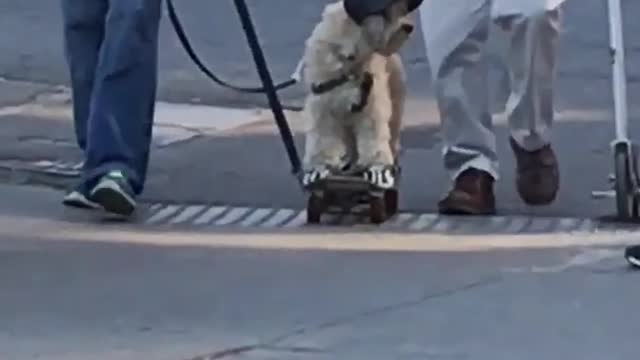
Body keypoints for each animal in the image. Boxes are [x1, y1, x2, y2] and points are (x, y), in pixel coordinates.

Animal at [300, 0, 416, 190]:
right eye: (386, 13)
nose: (409, 26)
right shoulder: (323, 109)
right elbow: (321, 140)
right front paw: (319, 167)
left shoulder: (372, 109)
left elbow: (374, 137)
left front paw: (378, 168)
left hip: (395, 103)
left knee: (392, 135)